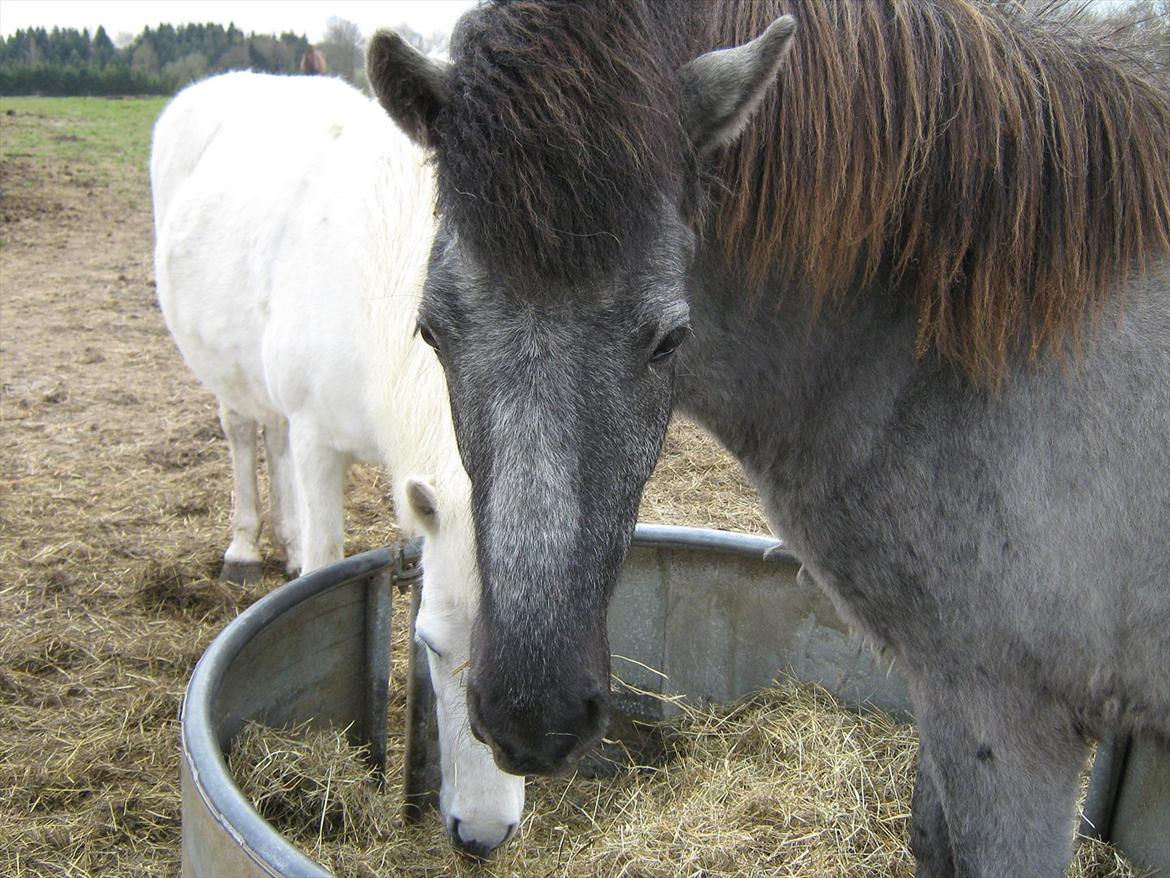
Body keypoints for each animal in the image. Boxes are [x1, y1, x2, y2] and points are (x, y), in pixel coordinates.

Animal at [148, 70, 524, 861]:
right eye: (434, 647)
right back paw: (246, 550)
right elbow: (326, 560)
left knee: (274, 440)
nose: (482, 836)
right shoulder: (321, 439)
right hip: (236, 384)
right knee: (246, 433)